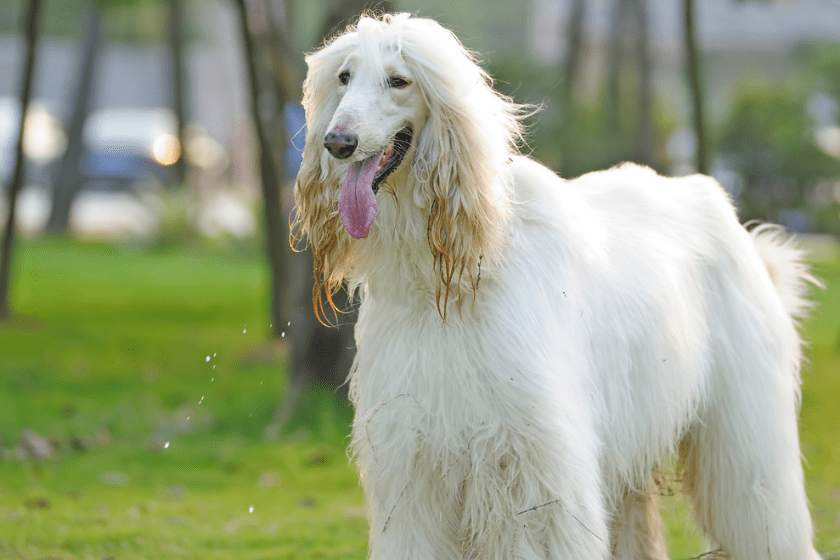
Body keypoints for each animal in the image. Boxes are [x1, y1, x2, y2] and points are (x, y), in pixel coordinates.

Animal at [294, 13, 820, 560]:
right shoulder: (415, 462)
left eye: (399, 80)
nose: (337, 142)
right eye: (344, 78)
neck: (454, 278)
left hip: (745, 438)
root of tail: (718, 203)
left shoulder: (531, 465)